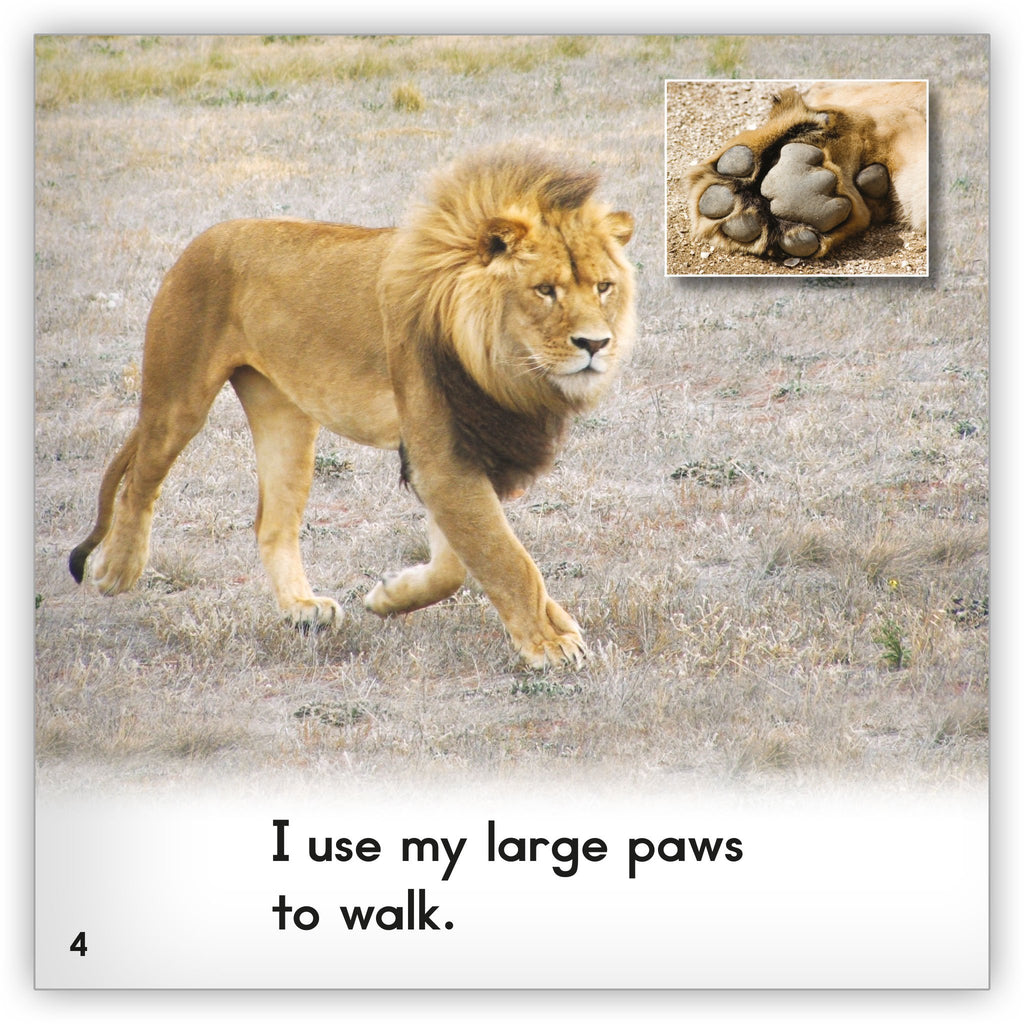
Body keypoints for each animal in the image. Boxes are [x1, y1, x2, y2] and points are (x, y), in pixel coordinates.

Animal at [68, 146, 636, 670]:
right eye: (545, 290)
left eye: (603, 286)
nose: (596, 344)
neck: (507, 370)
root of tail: (202, 239)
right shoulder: (443, 456)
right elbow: (505, 556)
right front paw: (548, 645)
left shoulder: (467, 451)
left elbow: (459, 561)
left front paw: (391, 597)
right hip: (179, 398)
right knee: (140, 480)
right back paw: (117, 569)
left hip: (286, 418)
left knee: (272, 522)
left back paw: (302, 608)